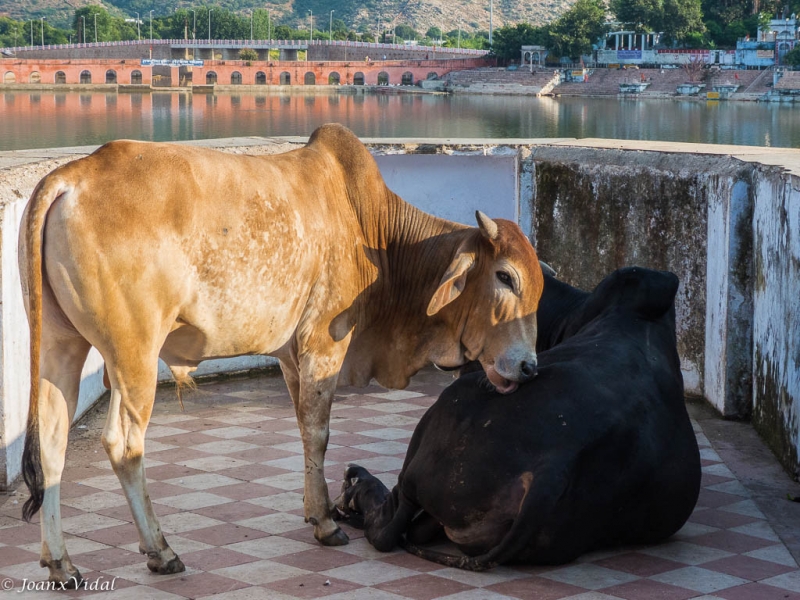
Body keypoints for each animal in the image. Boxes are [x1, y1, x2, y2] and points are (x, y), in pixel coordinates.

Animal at [18, 123, 544, 584]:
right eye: (505, 277)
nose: (529, 366)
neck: (374, 236)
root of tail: (73, 175)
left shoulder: (293, 356)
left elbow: (303, 427)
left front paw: (315, 510)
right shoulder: (325, 344)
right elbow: (319, 433)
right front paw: (327, 524)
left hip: (62, 345)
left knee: (52, 442)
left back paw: (61, 563)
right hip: (134, 354)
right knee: (124, 445)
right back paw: (160, 550)